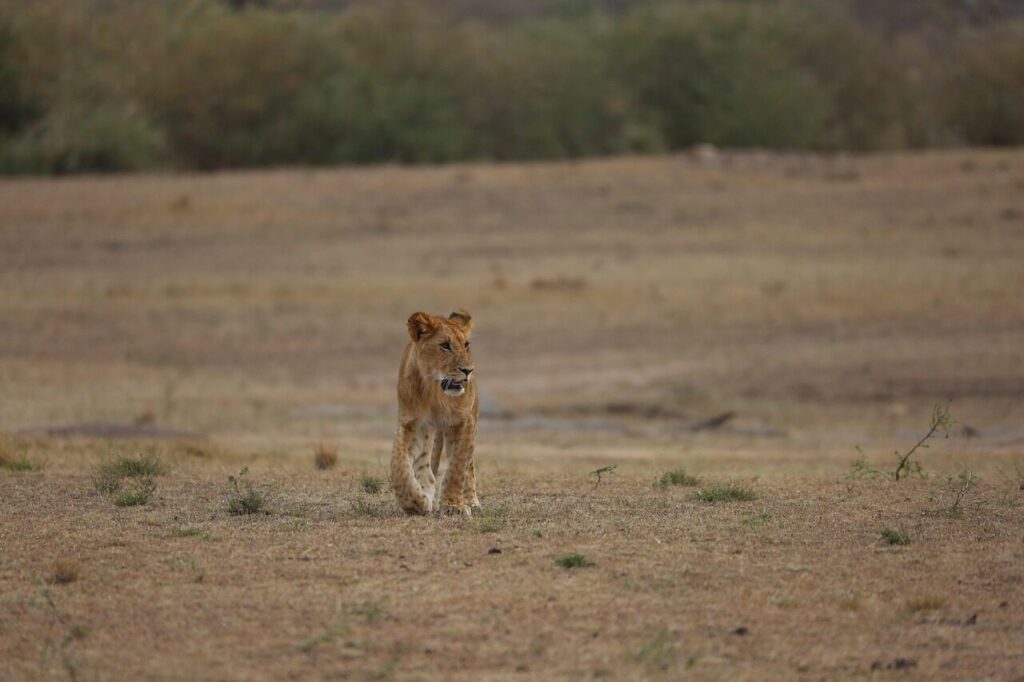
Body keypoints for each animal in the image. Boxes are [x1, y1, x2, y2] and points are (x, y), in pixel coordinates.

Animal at [390, 309, 479, 516]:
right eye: (445, 346)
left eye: (466, 345)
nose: (468, 371)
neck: (435, 393)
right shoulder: (411, 424)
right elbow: (398, 465)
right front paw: (414, 502)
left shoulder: (463, 422)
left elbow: (457, 467)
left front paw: (454, 506)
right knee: (425, 466)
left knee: (469, 465)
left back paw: (472, 501)